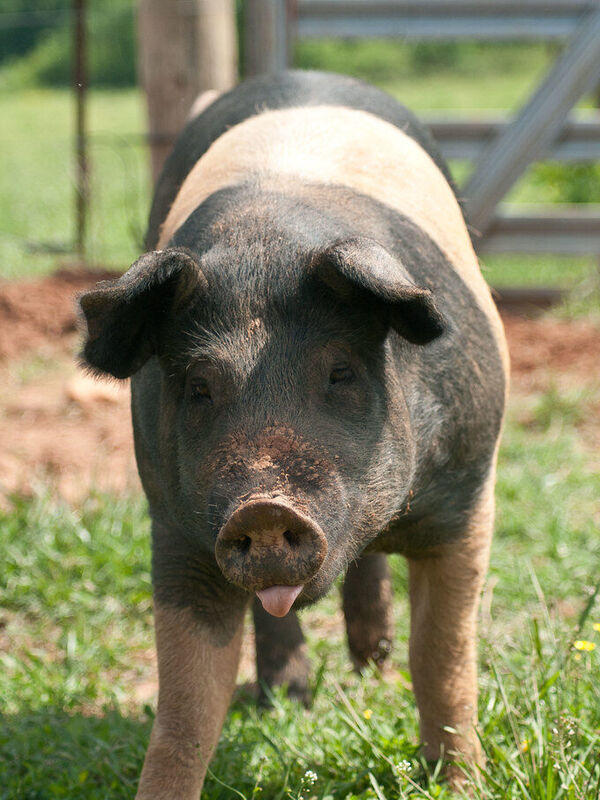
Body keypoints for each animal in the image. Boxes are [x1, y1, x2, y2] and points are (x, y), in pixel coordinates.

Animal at [78, 70, 508, 798]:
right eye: (199, 387)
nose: (263, 506)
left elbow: (444, 660)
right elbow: (186, 708)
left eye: (339, 372)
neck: (266, 247)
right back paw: (288, 698)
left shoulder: (468, 495)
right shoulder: (177, 525)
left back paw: (370, 672)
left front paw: (462, 785)